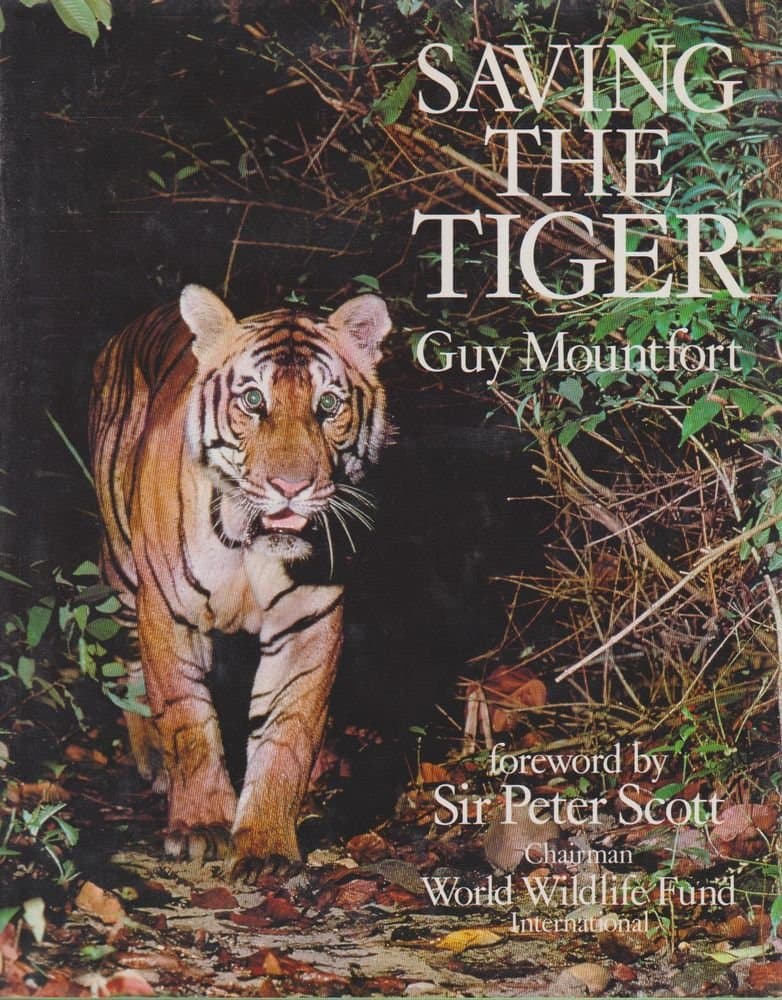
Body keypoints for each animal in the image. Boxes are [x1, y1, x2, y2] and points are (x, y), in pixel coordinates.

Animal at [88, 285, 391, 875]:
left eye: (328, 406)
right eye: (253, 401)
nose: (291, 487)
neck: (254, 546)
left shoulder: (310, 623)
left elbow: (286, 732)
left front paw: (266, 843)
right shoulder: (168, 611)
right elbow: (187, 719)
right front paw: (202, 825)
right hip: (122, 570)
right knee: (133, 671)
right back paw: (154, 761)